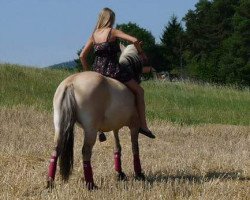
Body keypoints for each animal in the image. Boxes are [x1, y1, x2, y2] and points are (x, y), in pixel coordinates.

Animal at [46, 44, 148, 190]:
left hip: (59, 124)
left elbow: (117, 147)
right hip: (90, 129)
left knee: (56, 148)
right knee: (86, 151)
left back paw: (50, 182)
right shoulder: (134, 126)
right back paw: (91, 184)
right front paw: (139, 173)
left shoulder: (115, 127)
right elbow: (135, 148)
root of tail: (71, 83)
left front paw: (120, 173)